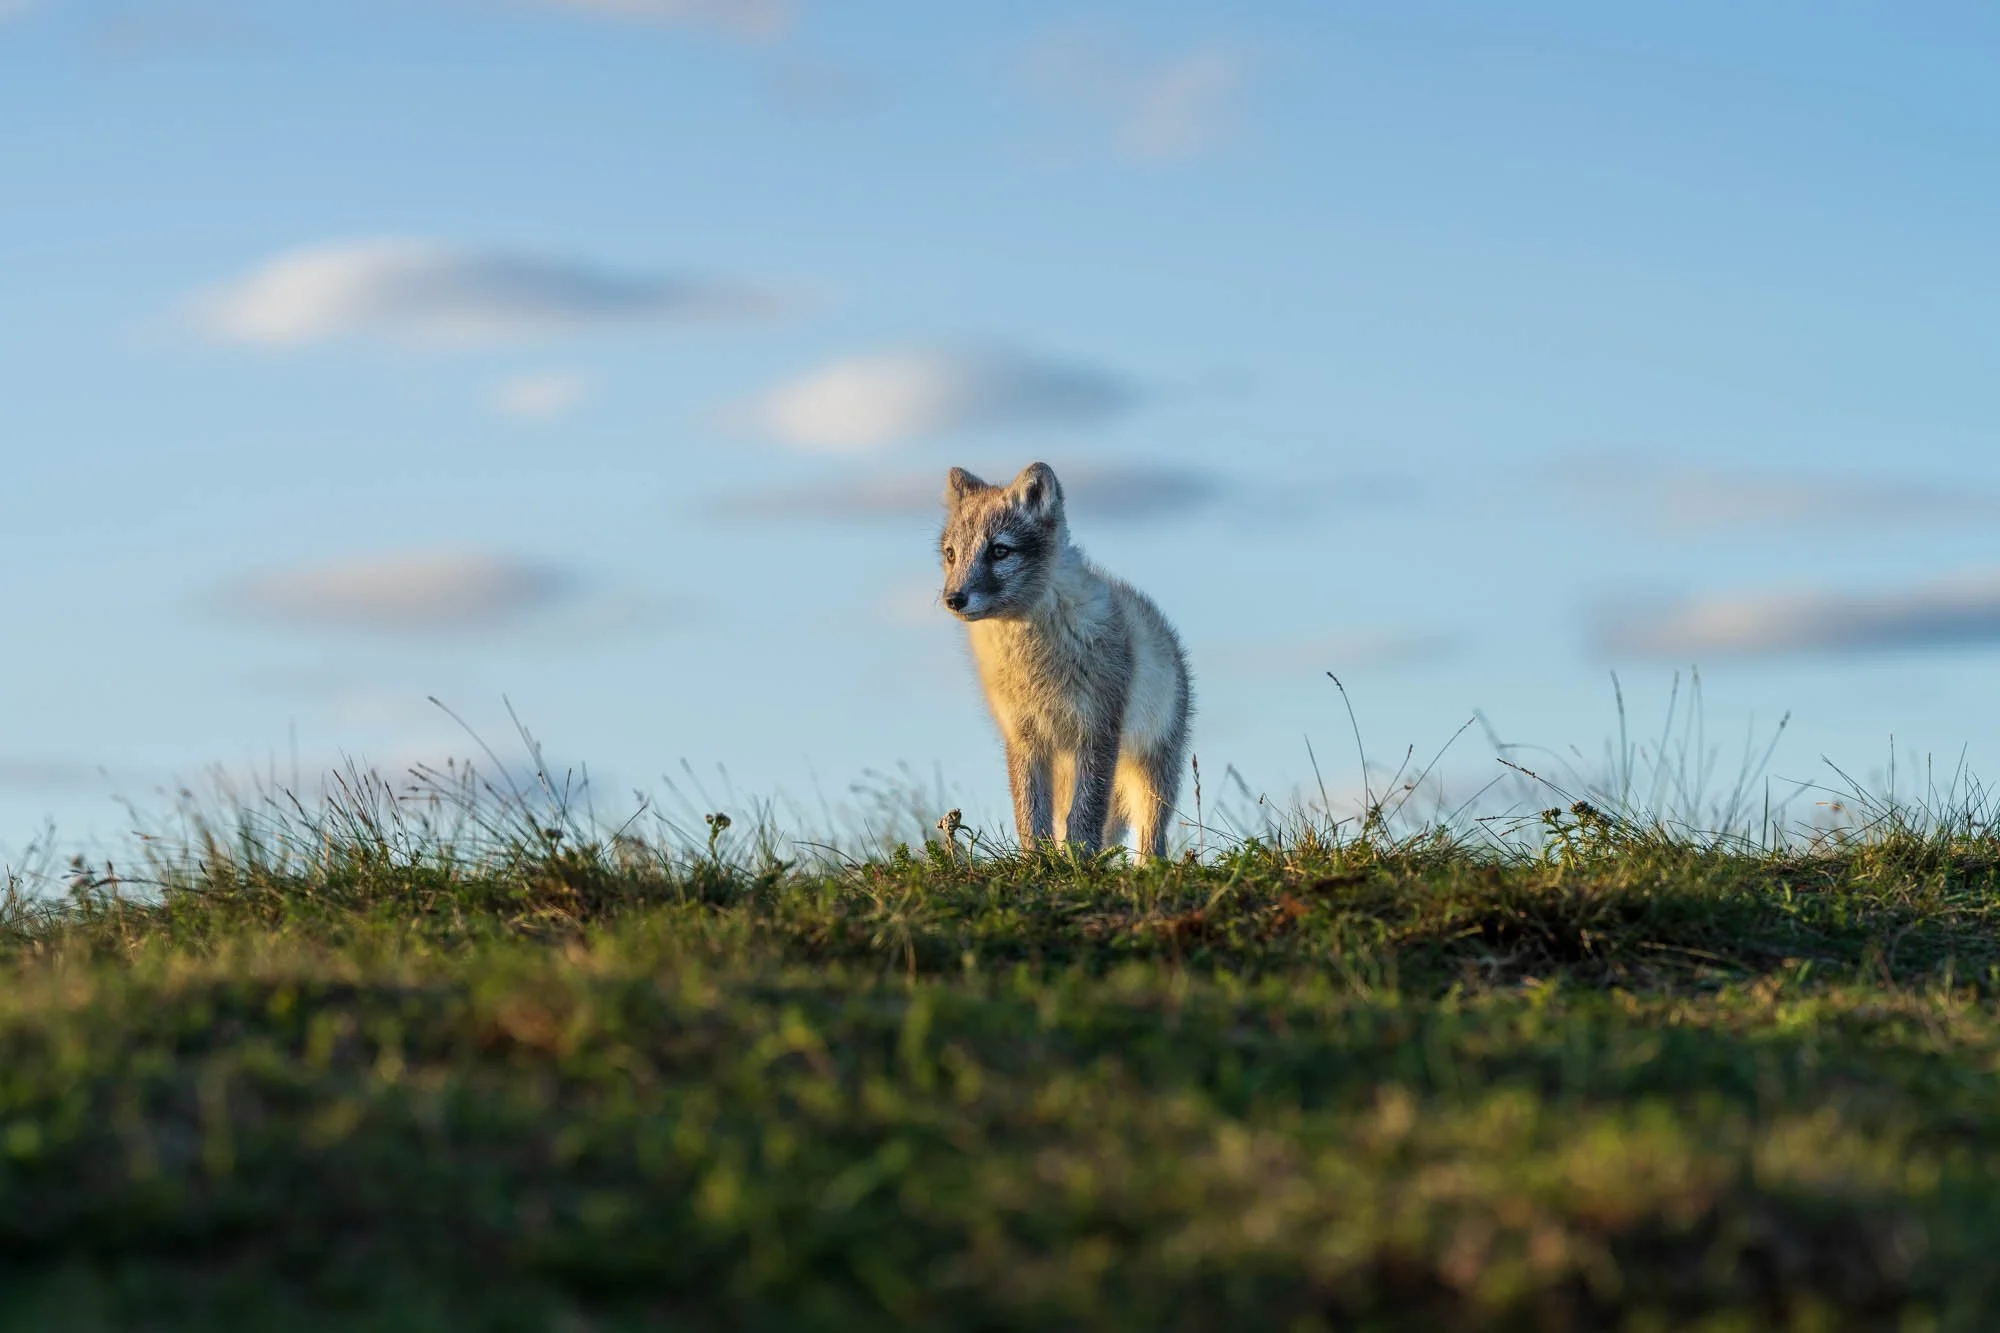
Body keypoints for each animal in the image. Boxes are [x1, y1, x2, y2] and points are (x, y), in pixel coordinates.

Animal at [938, 461, 1192, 861]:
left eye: (999, 551)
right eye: (951, 554)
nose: (953, 598)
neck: (1034, 663)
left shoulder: (1097, 730)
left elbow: (1086, 812)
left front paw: (1079, 860)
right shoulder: (1023, 737)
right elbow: (1031, 814)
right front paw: (1038, 862)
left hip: (1152, 771)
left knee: (1151, 835)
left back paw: (1149, 868)